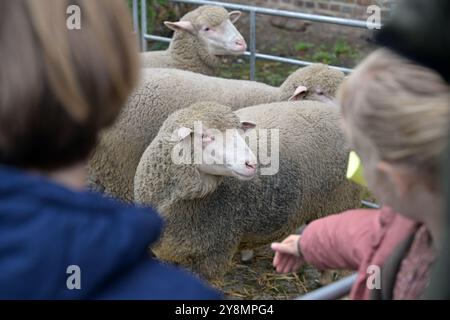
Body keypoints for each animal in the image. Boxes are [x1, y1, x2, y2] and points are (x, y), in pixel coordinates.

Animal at [134, 100, 366, 280]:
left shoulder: (213, 254)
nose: (252, 164)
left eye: (240, 132)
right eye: (205, 136)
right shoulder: (167, 253)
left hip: (341, 202)